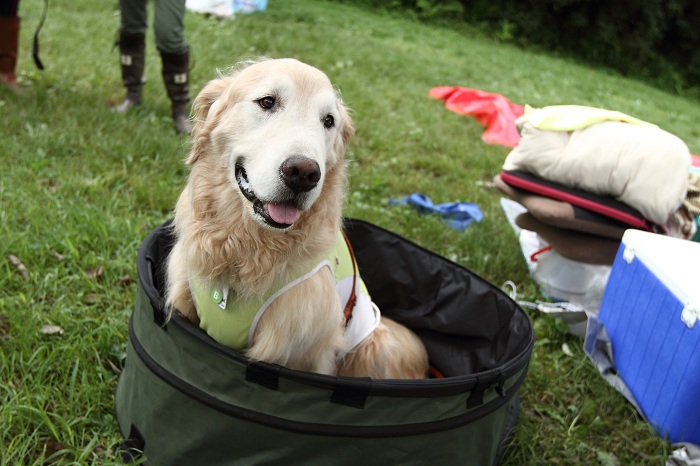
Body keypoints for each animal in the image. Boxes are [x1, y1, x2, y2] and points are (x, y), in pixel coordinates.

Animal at [165, 58, 426, 378]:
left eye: (328, 121)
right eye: (267, 102)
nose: (303, 173)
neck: (248, 246)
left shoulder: (302, 350)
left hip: (376, 348)